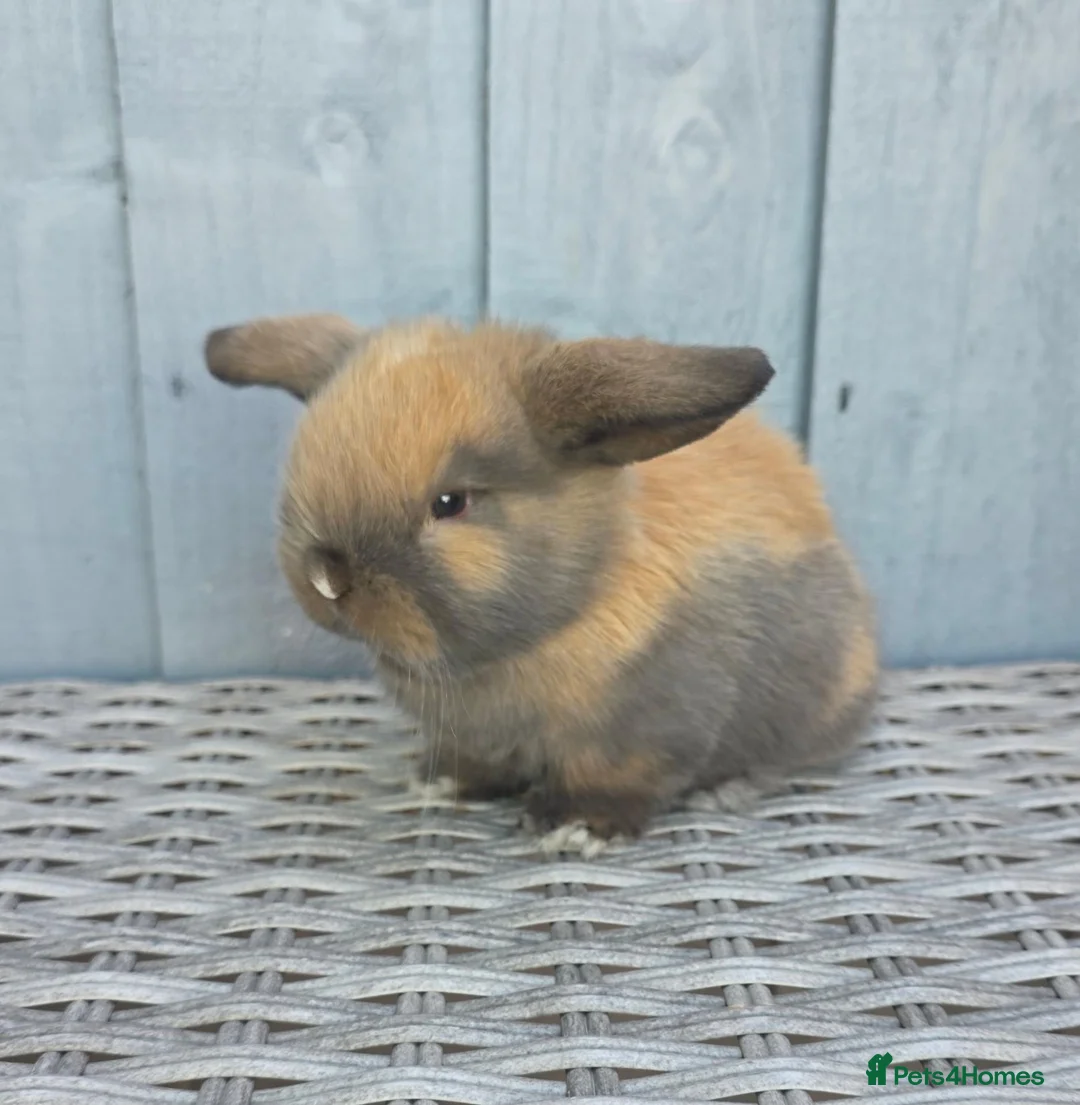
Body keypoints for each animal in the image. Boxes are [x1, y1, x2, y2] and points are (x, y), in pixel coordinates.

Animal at [204, 313, 878, 855]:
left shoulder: (640, 735)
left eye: (450, 503)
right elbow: (472, 763)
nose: (327, 578)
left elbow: (614, 781)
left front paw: (574, 829)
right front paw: (438, 780)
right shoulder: (473, 735)